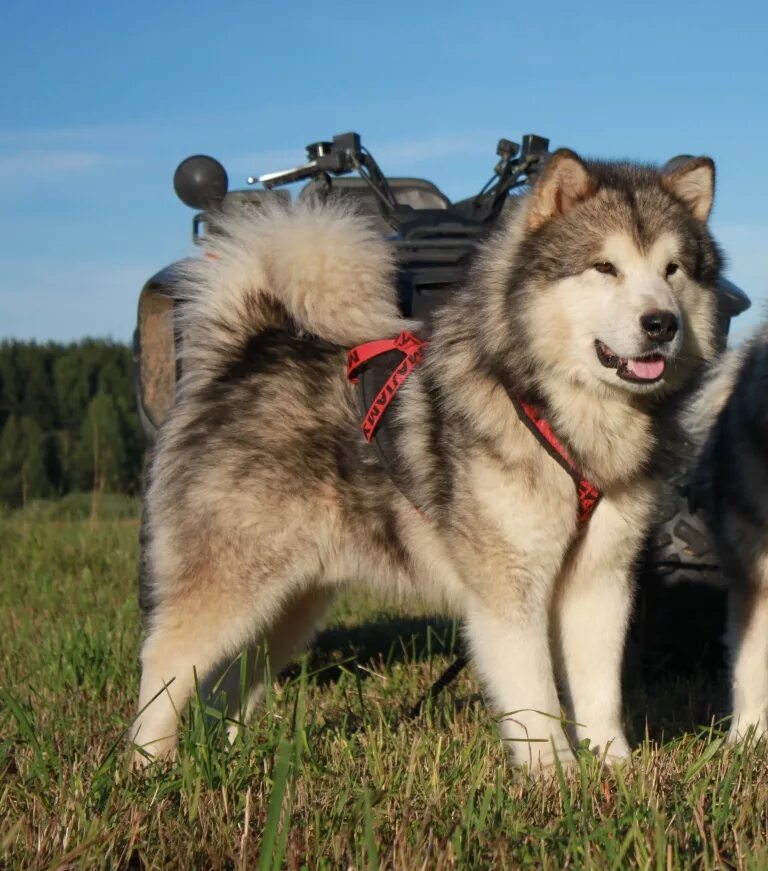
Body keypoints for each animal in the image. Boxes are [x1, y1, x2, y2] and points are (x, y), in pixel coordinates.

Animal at [130, 152, 720, 776]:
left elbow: (600, 691)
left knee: (231, 680)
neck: (562, 416)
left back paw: (231, 757)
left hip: (290, 599)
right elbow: (535, 694)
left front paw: (616, 770)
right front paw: (553, 778)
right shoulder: (509, 585)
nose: (661, 323)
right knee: (165, 659)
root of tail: (243, 355)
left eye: (673, 270)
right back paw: (149, 766)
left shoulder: (601, 581)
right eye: (605, 267)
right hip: (234, 581)